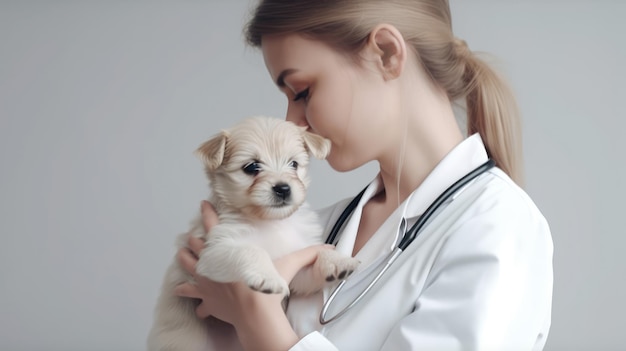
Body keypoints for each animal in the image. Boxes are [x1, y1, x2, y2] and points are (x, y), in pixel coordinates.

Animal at [146, 116, 358, 351]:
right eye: (252, 167)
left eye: (293, 164)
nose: (283, 189)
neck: (269, 222)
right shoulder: (212, 252)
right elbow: (251, 250)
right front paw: (268, 277)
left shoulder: (298, 272)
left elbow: (316, 260)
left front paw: (337, 261)